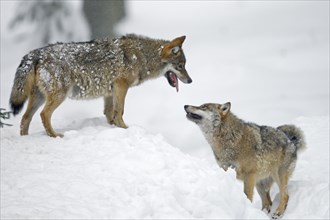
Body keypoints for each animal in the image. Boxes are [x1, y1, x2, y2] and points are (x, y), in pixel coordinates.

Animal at [9, 33, 192, 137]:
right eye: (180, 66)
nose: (190, 81)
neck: (142, 56)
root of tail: (35, 53)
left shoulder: (109, 93)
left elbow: (110, 113)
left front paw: (114, 128)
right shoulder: (121, 86)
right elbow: (120, 112)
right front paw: (124, 129)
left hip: (38, 97)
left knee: (25, 118)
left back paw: (25, 138)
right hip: (59, 96)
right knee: (44, 115)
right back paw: (55, 135)